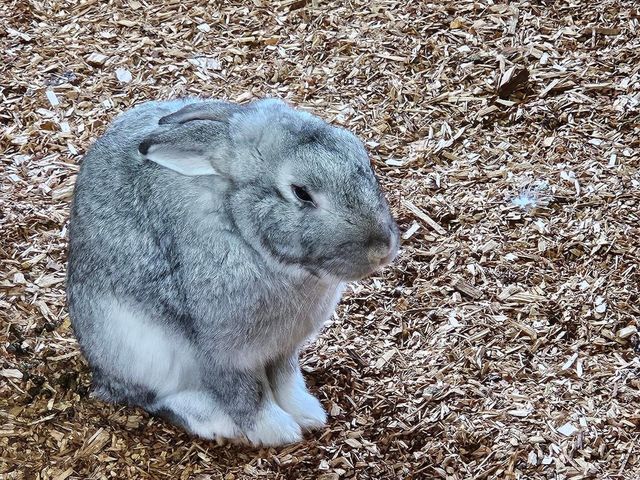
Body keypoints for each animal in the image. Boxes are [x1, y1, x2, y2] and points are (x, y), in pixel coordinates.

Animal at [65, 97, 396, 446]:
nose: (382, 248)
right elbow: (247, 394)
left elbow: (286, 381)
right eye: (301, 193)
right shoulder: (225, 355)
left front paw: (308, 414)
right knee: (152, 397)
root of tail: (99, 373)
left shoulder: (283, 349)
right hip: (140, 349)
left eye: (362, 157)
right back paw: (215, 422)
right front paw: (278, 431)